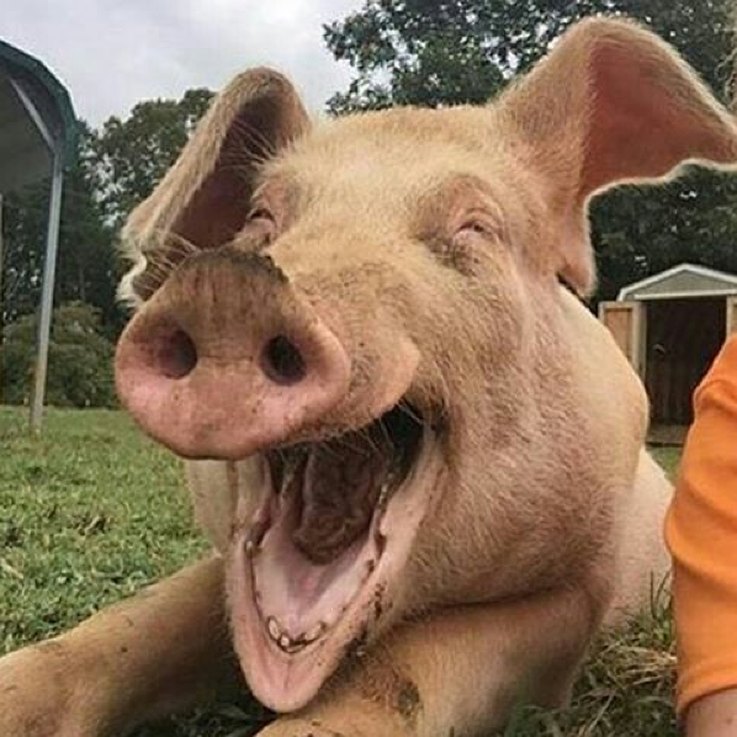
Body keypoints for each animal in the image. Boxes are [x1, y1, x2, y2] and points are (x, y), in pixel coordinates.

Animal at [1, 16, 736, 737]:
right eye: (261, 219)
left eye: (476, 226)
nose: (229, 287)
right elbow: (138, 622)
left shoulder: (573, 597)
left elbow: (403, 670)